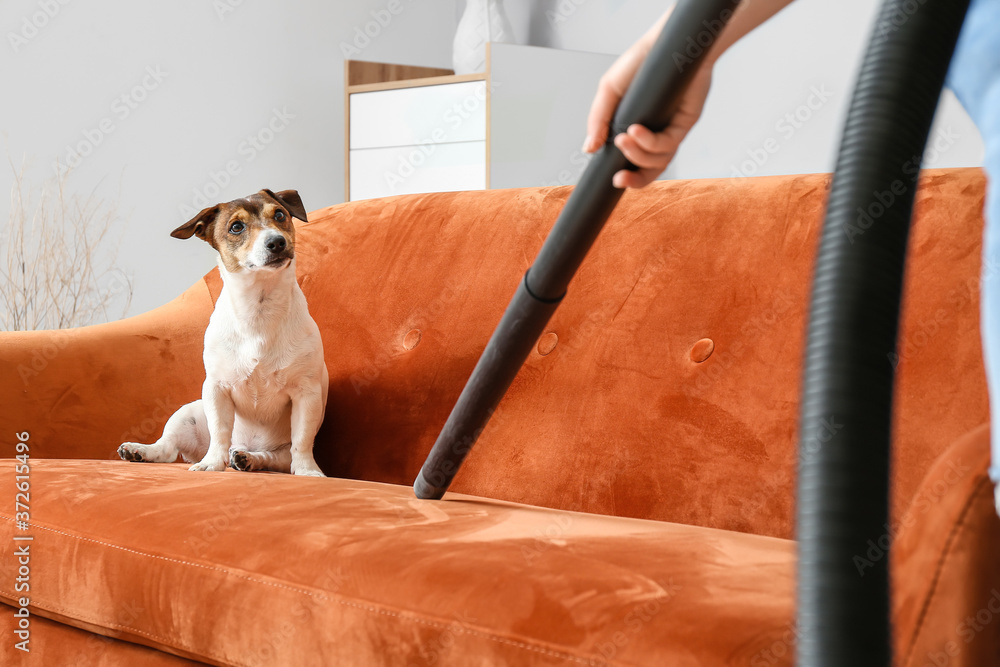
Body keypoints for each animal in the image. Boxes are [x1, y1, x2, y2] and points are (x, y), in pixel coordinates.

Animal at [118, 190, 328, 478]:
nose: (277, 241)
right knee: (168, 449)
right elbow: (219, 431)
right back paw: (141, 450)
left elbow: (303, 439)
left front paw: (308, 471)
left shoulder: (307, 394)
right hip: (187, 412)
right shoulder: (216, 389)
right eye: (236, 227)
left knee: (274, 457)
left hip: (279, 454)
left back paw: (248, 458)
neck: (258, 310)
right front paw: (211, 464)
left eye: (279, 215)